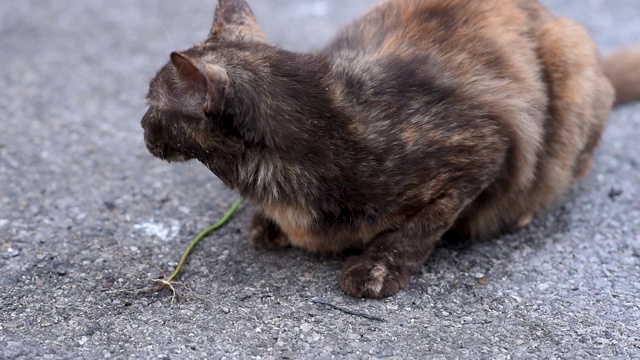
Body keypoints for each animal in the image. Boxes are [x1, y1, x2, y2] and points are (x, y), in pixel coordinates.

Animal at [141, 0, 640, 298]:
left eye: (151, 103)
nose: (141, 127)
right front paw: (267, 224)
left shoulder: (481, 150)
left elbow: (419, 227)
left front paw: (377, 270)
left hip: (569, 66)